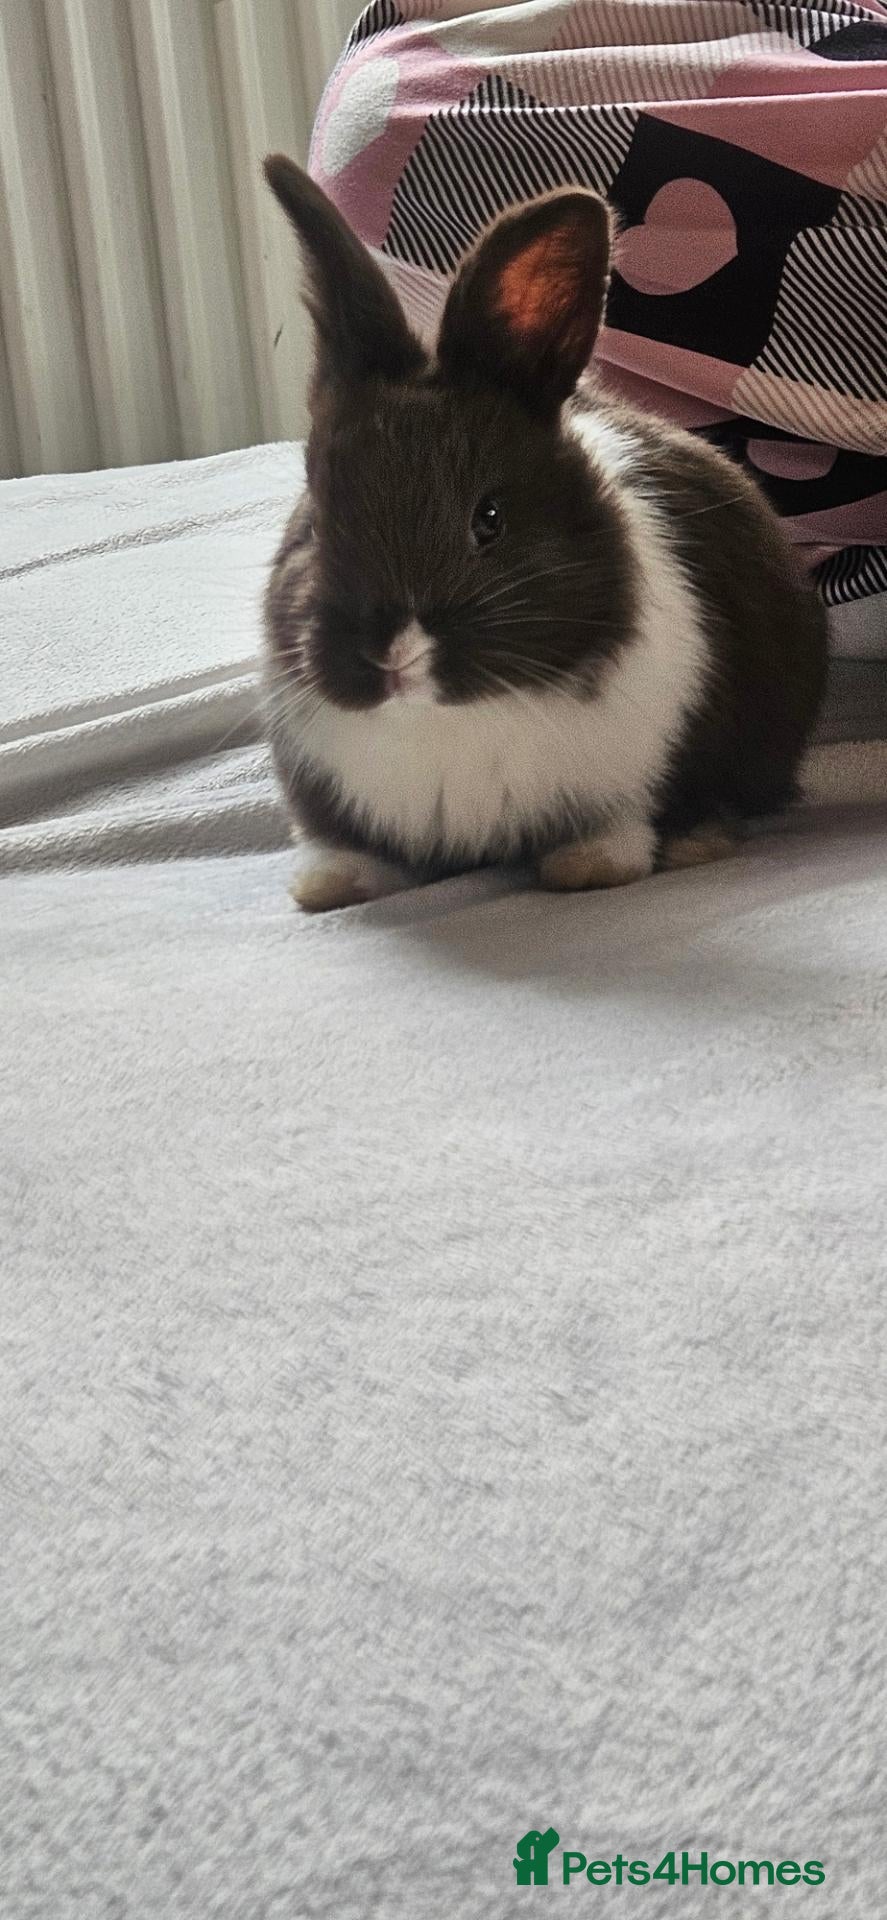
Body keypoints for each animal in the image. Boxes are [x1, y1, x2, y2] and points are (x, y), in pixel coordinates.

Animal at [262, 155, 828, 913]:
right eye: (317, 520)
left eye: (490, 519)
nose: (393, 655)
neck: (437, 717)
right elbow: (345, 848)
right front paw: (329, 885)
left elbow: (614, 834)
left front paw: (590, 868)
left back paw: (696, 842)